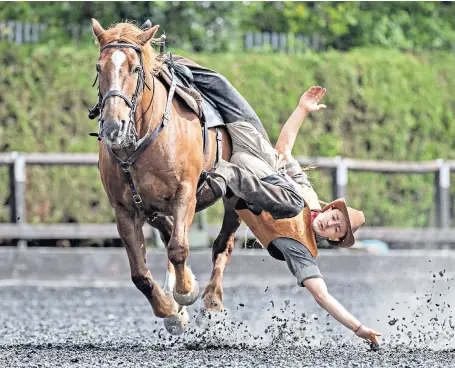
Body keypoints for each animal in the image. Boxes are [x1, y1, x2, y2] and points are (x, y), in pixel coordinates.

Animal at [91, 20, 242, 334]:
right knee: (168, 229)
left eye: (135, 68)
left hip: (233, 199)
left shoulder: (185, 193)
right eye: (99, 68)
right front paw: (171, 311)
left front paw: (186, 292)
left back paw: (211, 303)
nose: (112, 125)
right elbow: (139, 273)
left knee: (222, 245)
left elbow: (179, 249)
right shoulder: (124, 210)